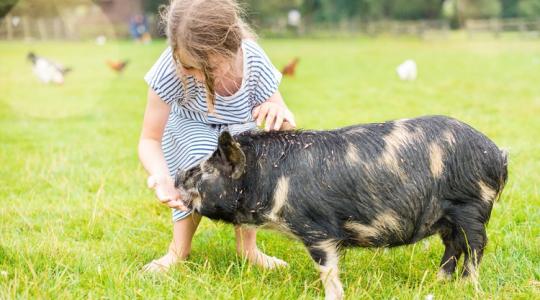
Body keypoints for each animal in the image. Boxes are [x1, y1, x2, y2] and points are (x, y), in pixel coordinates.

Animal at [175, 115, 508, 300]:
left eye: (206, 170)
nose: (177, 175)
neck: (268, 180)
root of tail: (497, 154)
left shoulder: (317, 229)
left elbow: (327, 268)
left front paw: (332, 296)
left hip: (471, 206)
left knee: (476, 246)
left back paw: (467, 286)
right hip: (447, 217)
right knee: (453, 245)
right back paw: (439, 282)